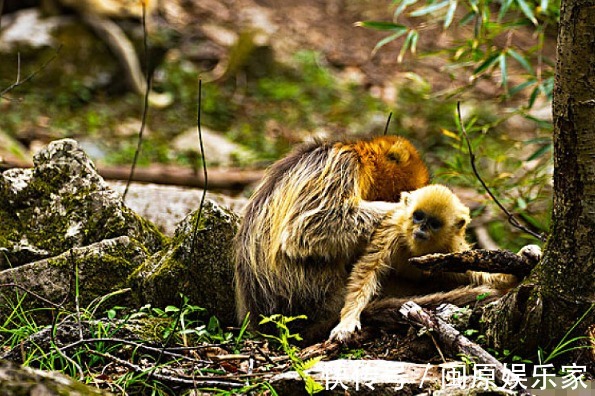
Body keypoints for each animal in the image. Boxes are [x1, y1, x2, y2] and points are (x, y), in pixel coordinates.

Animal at [328, 184, 520, 342]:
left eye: (434, 224)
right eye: (418, 217)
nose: (421, 228)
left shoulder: (452, 247)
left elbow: (478, 274)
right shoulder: (392, 229)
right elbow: (368, 270)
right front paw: (348, 320)